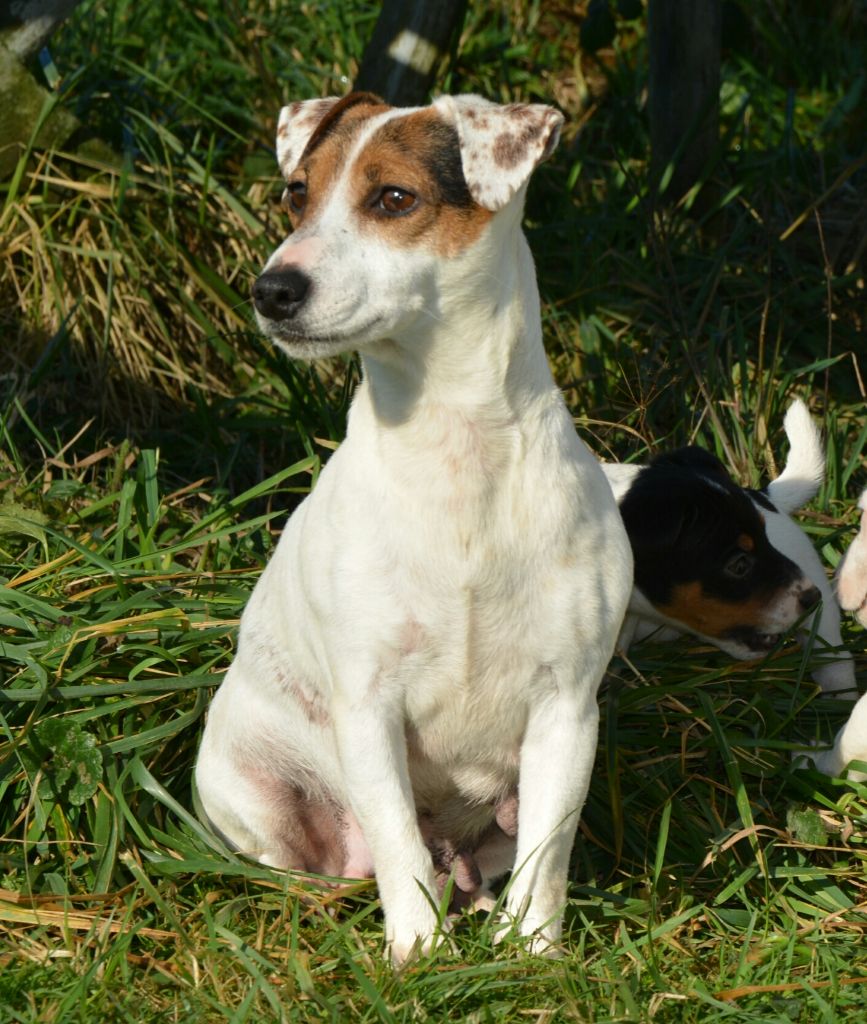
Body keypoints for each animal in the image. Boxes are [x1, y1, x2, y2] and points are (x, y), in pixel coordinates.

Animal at [194, 92, 630, 962]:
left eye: (393, 198)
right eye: (296, 194)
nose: (271, 289)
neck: (454, 447)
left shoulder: (566, 710)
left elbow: (547, 856)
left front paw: (533, 954)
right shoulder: (368, 705)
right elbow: (395, 838)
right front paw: (416, 954)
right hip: (245, 787)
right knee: (335, 865)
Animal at [601, 399, 859, 696]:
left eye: (765, 537)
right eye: (739, 564)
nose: (811, 596)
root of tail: (763, 495)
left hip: (820, 619)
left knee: (834, 661)